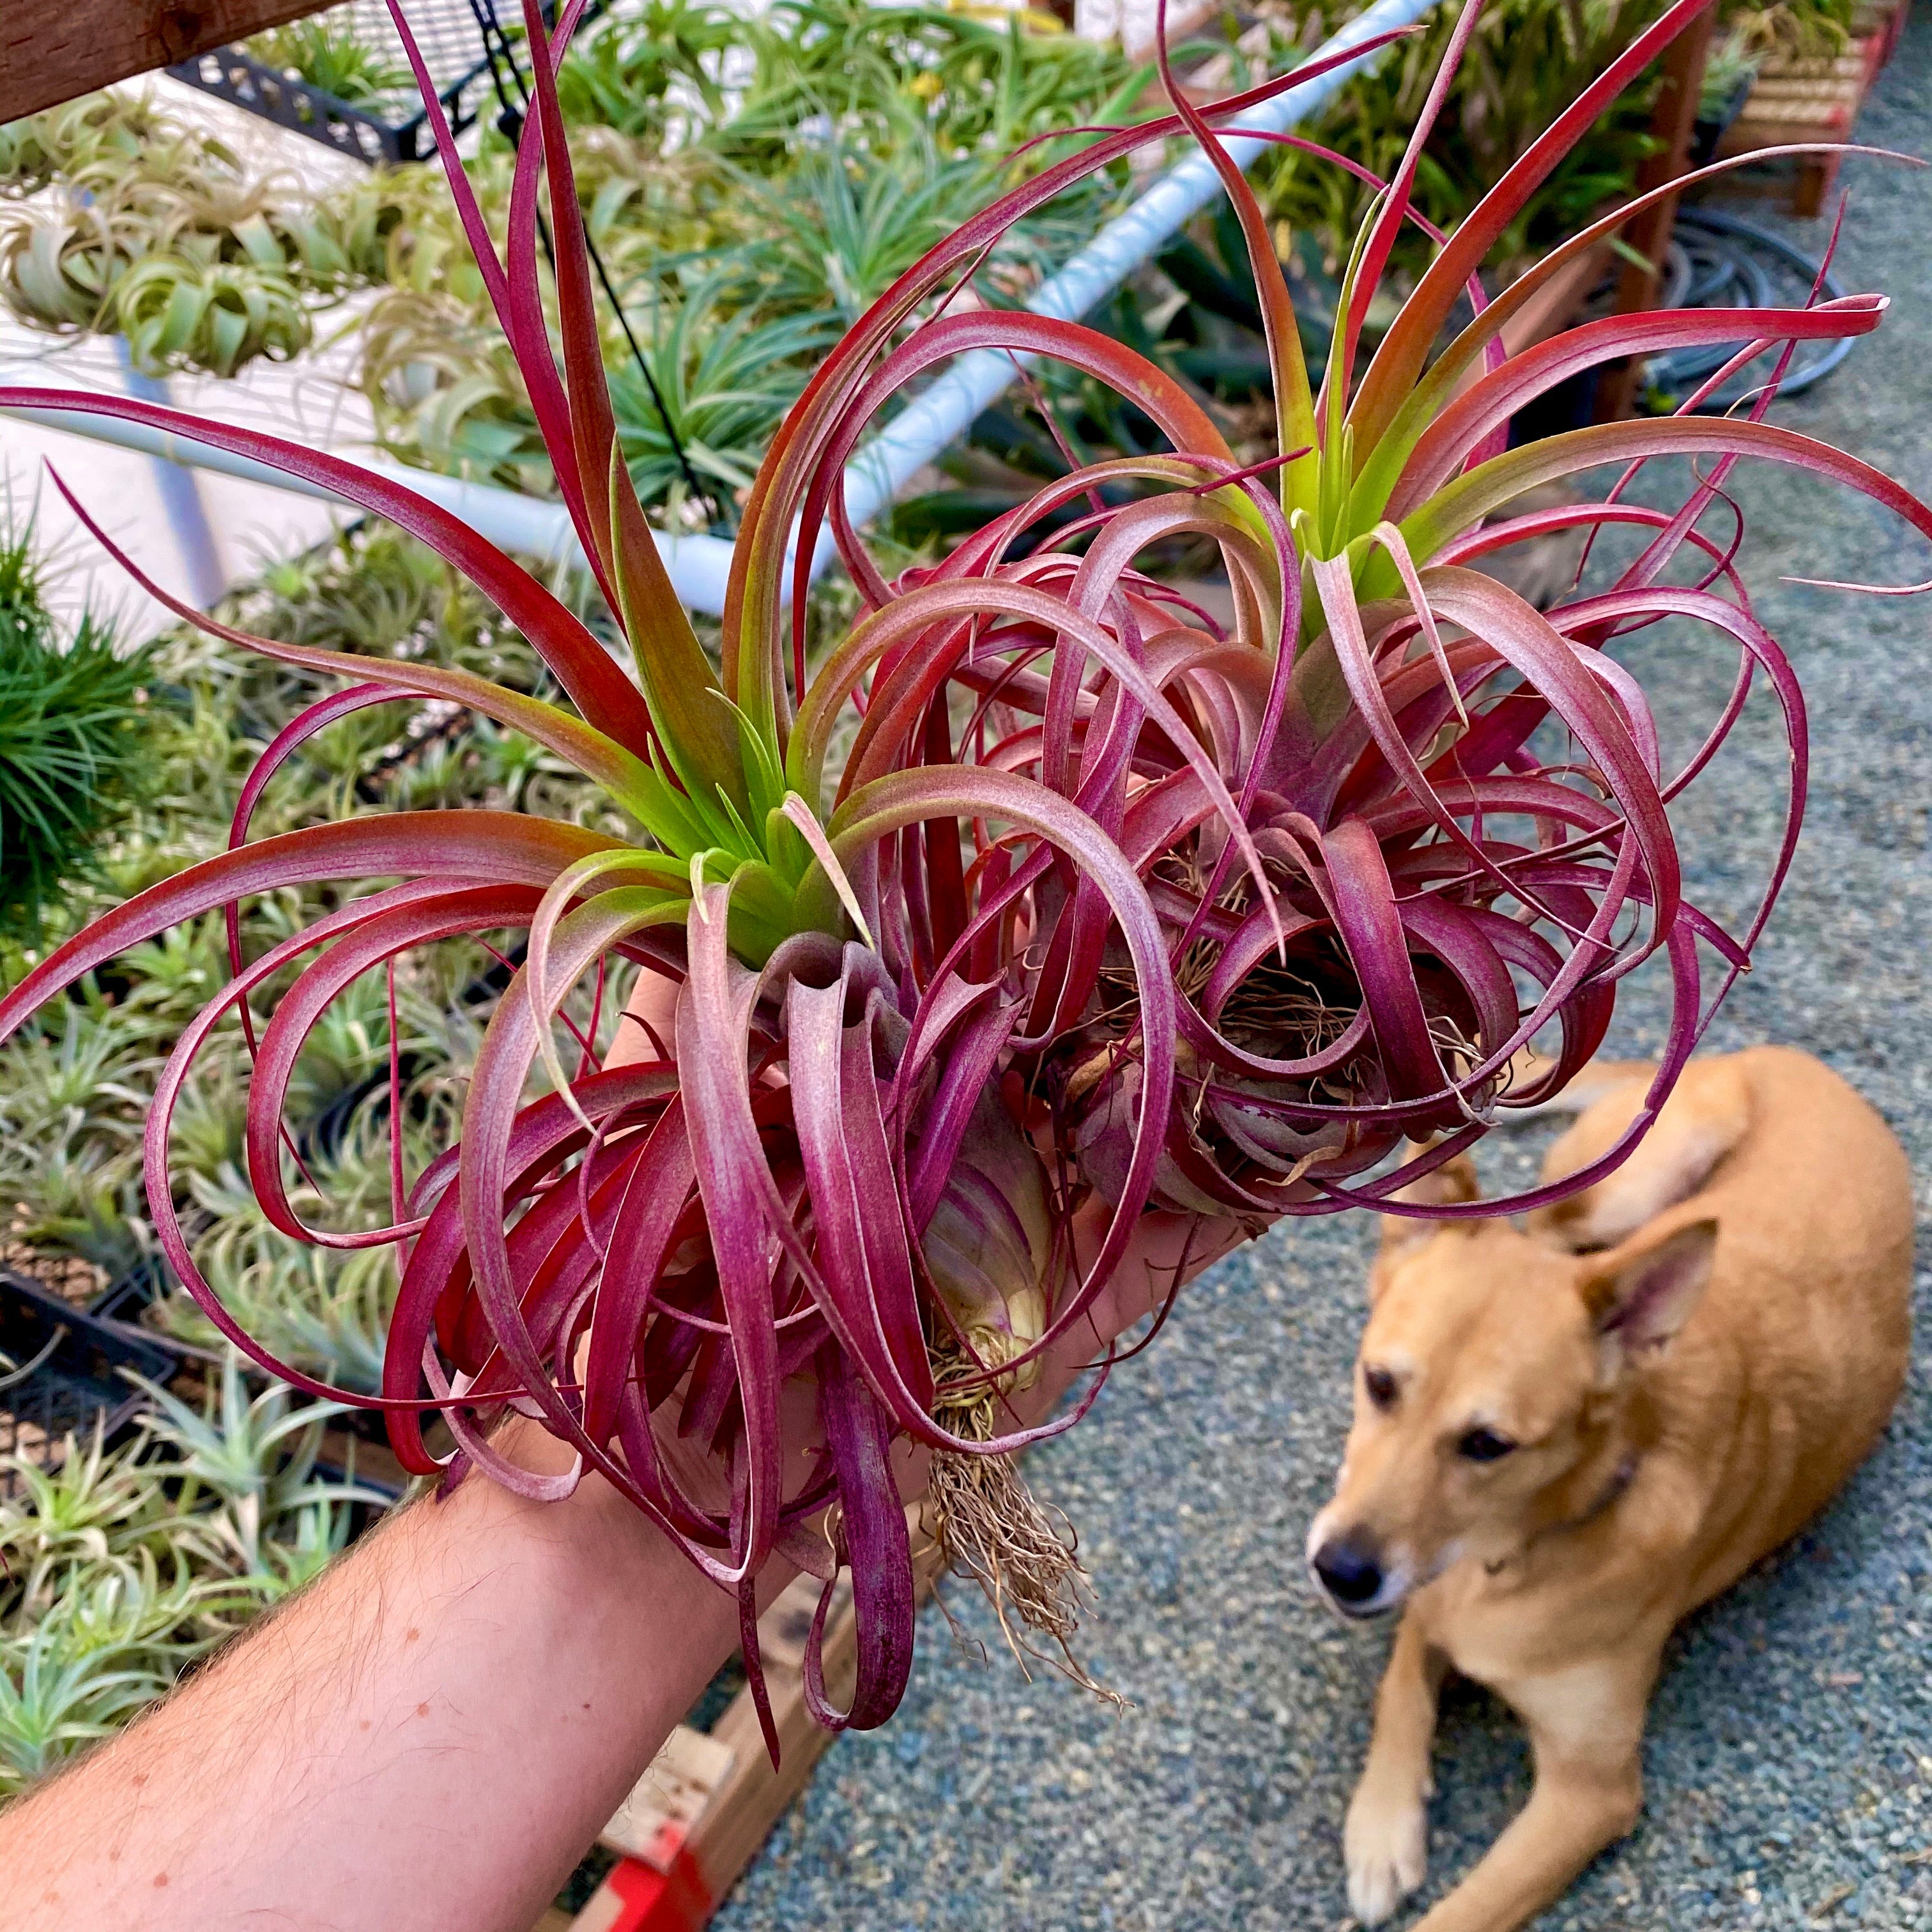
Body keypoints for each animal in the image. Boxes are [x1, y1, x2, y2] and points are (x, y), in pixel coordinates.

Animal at [1306, 1051, 1908, 1924]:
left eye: (1489, 1445)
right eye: (1379, 1383)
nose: (1341, 1572)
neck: (1512, 1552)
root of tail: (1790, 1058)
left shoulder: (1590, 1792)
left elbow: (1465, 1911)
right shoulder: (1427, 1601)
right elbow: (1402, 1691)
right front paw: (1382, 1829)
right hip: (1629, 1182)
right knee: (1549, 1234)